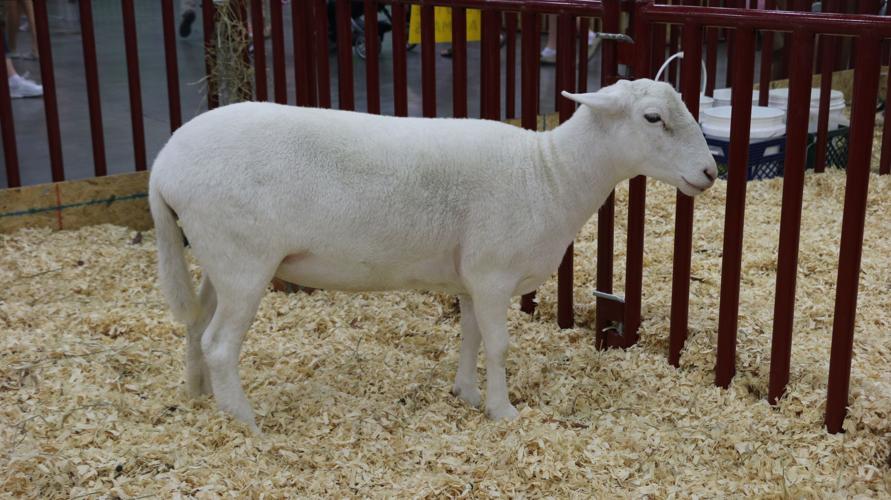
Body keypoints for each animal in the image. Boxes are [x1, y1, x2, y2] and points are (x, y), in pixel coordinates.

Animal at [149, 79, 718, 432]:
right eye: (653, 118)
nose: (711, 172)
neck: (549, 173)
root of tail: (163, 165)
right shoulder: (492, 273)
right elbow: (499, 346)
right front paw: (502, 411)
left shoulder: (469, 278)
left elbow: (470, 337)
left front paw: (466, 393)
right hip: (245, 261)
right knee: (221, 343)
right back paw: (244, 421)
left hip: (218, 256)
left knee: (197, 325)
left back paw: (201, 396)